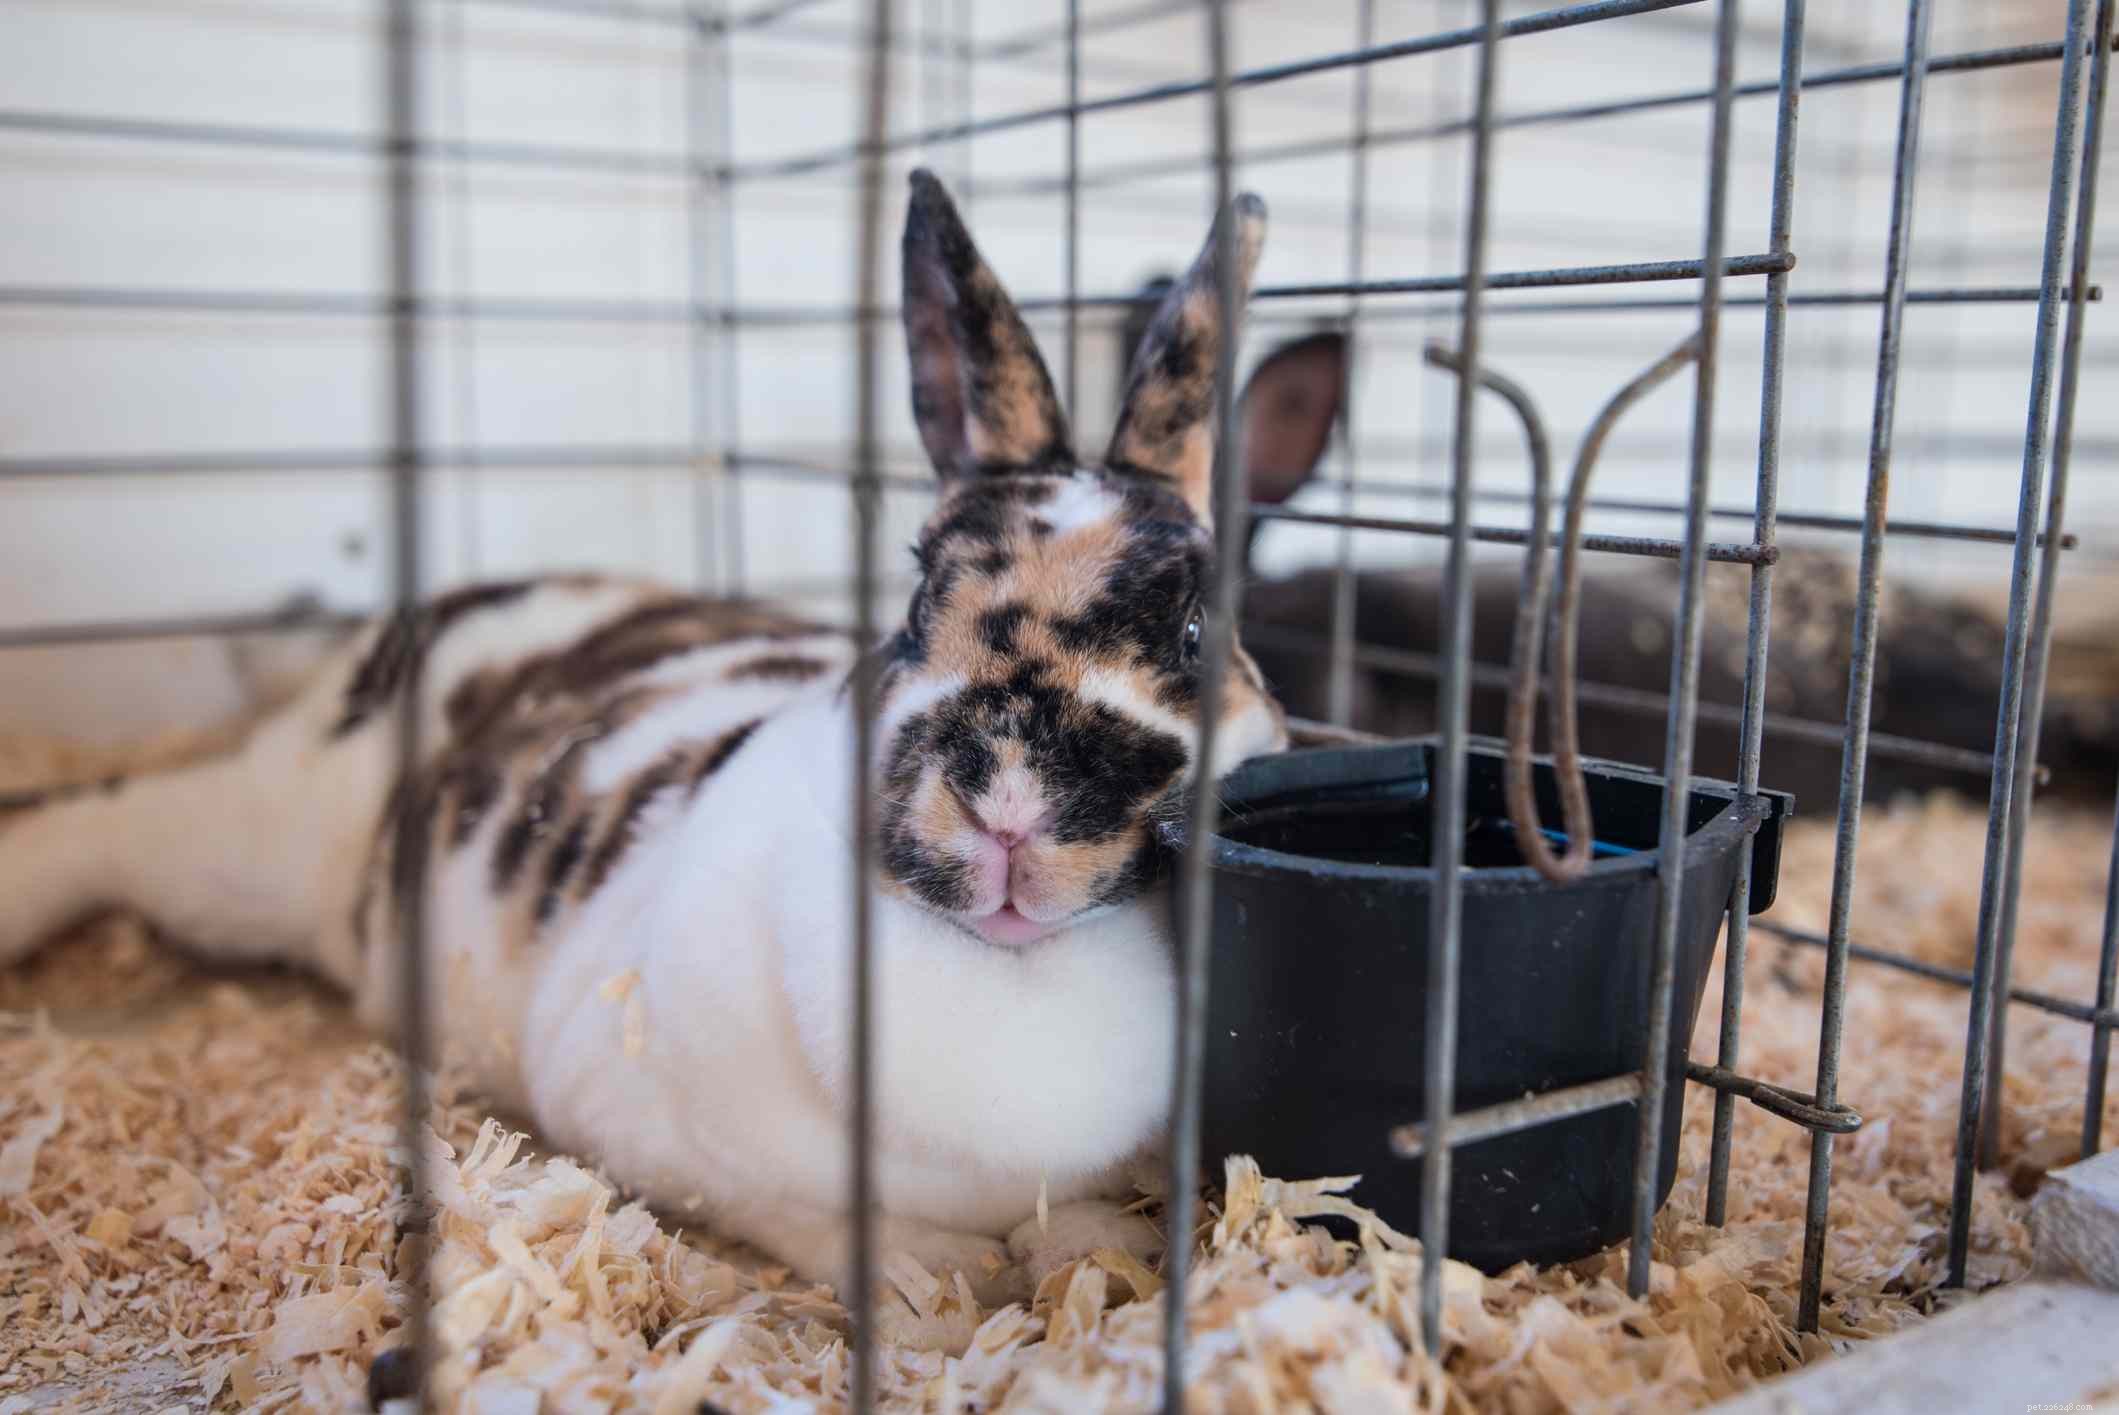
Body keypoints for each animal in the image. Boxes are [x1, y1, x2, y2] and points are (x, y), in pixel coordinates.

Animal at [0, 171, 1289, 1306]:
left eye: (1193, 627)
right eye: (918, 600)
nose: (1007, 804)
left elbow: (1080, 1225)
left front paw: (1093, 1253)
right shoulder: (647, 1119)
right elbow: (820, 1214)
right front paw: (942, 1269)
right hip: (251, 851)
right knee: (115, 818)